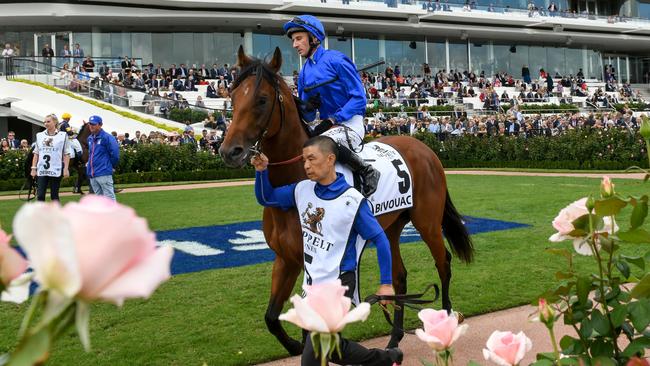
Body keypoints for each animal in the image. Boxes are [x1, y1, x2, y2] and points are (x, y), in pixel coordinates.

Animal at [220, 47, 474, 356]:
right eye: (233, 96)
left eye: (261, 99)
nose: (229, 151)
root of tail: (426, 149)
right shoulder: (286, 259)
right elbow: (271, 316)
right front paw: (293, 346)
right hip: (390, 227)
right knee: (399, 276)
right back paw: (394, 339)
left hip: (427, 222)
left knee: (443, 263)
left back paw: (446, 322)